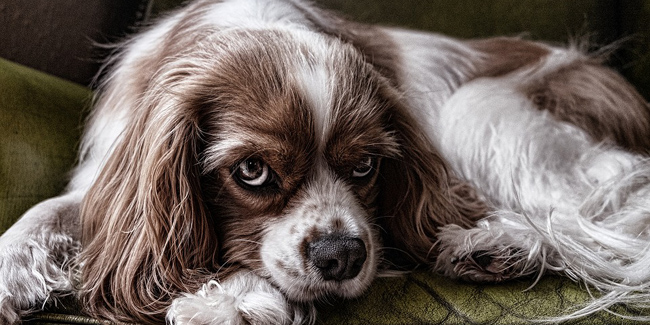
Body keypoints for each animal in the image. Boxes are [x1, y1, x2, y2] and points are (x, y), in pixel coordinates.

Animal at [1, 0, 648, 322]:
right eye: (252, 171)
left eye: (365, 167)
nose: (343, 256)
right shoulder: (115, 175)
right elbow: (49, 211)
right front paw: (11, 273)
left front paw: (233, 299)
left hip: (481, 109)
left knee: (606, 203)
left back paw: (497, 243)